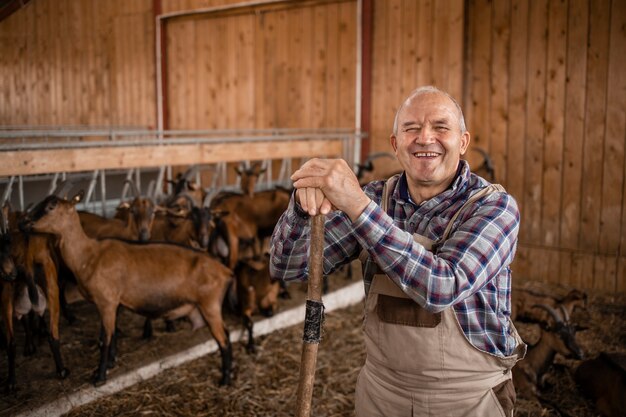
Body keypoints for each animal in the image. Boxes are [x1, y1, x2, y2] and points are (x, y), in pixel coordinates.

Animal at [21, 192, 234, 386]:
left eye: (51, 206)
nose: (24, 223)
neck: (89, 255)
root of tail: (225, 272)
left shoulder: (107, 302)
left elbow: (106, 340)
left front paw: (99, 377)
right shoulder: (109, 303)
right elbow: (108, 335)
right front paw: (108, 365)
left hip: (210, 306)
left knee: (223, 341)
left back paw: (225, 380)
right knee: (227, 335)